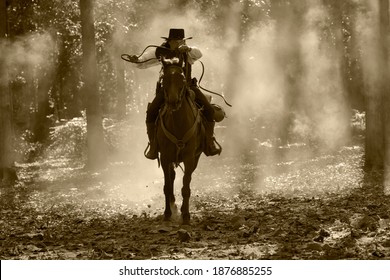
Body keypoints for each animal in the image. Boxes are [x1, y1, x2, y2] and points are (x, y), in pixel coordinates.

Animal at [155, 59, 204, 225]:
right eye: (164, 79)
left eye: (182, 79)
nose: (173, 101)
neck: (178, 124)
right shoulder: (165, 158)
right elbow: (167, 186)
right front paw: (167, 213)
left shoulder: (189, 158)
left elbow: (186, 186)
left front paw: (186, 215)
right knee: (172, 177)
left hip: (195, 158)